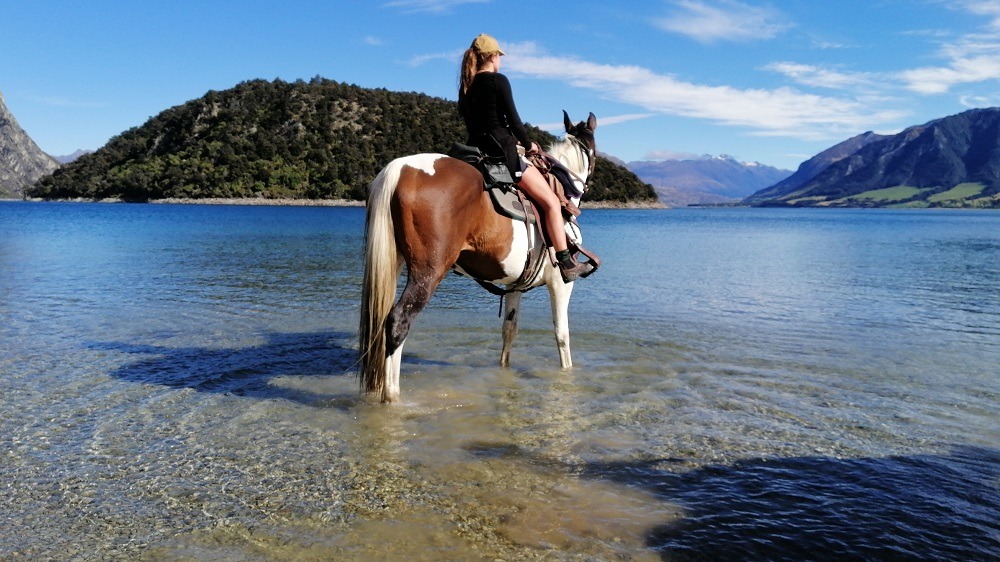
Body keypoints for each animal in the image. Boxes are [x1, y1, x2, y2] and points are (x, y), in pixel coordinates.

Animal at [358, 109, 592, 400]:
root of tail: (400, 169)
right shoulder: (561, 283)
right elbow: (562, 334)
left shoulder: (514, 286)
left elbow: (509, 331)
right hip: (427, 273)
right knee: (398, 322)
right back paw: (392, 396)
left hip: (393, 265)